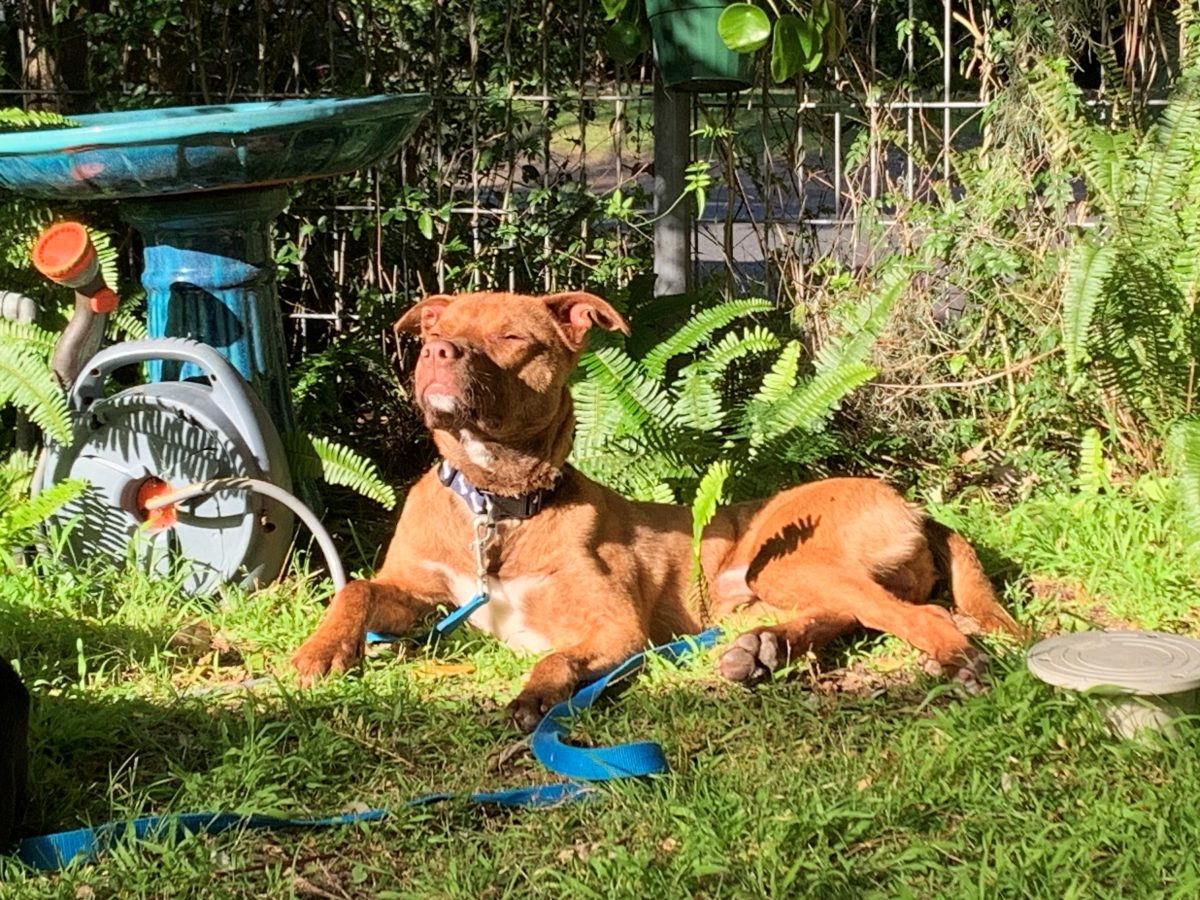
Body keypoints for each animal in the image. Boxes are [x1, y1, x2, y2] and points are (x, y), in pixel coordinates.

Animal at [292, 292, 1022, 729]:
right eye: (437, 331)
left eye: (512, 336)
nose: (437, 353)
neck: (498, 506)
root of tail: (912, 504)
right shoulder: (424, 592)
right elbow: (357, 588)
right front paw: (322, 651)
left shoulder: (615, 629)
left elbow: (558, 660)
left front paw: (536, 696)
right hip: (772, 583)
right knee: (848, 613)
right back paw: (763, 651)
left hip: (785, 561)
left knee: (913, 613)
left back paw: (952, 659)